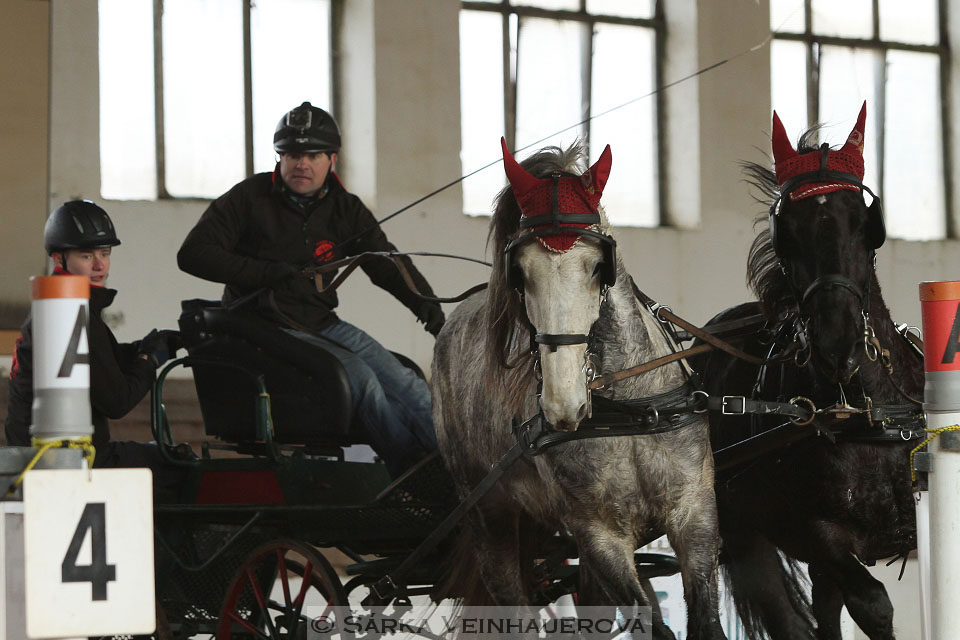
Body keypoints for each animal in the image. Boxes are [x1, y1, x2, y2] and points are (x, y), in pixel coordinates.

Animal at [432, 141, 724, 640]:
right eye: (520, 271)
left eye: (597, 266)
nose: (562, 403)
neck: (629, 410)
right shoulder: (598, 535)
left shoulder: (695, 516)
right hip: (490, 518)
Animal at [692, 106, 928, 640]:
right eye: (789, 230)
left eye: (863, 222)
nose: (837, 345)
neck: (861, 408)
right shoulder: (819, 533)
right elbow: (873, 603)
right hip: (741, 535)